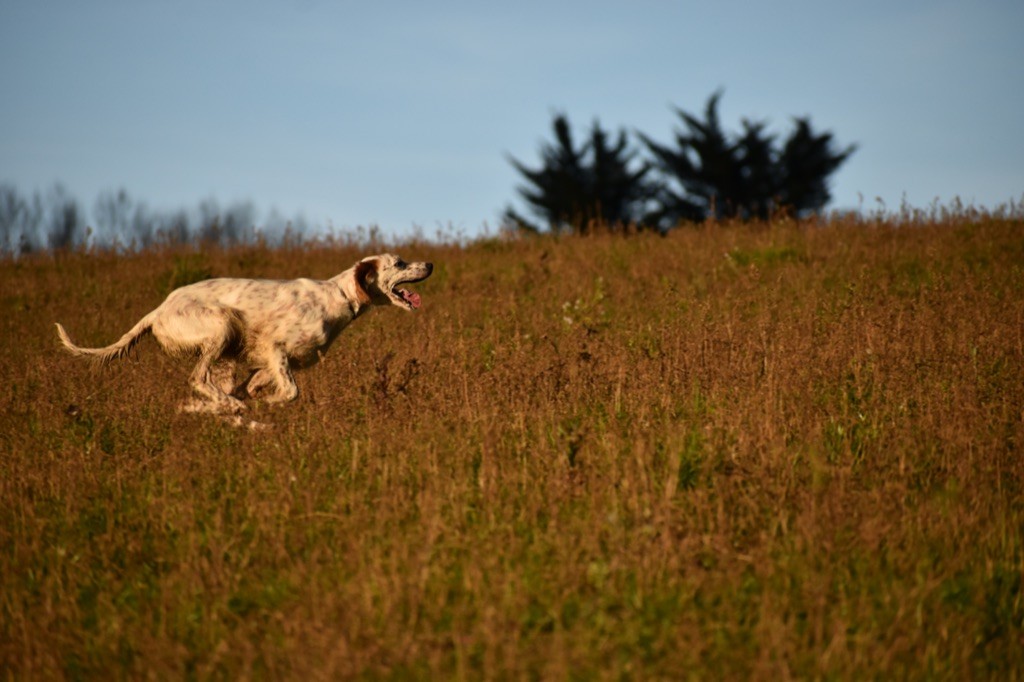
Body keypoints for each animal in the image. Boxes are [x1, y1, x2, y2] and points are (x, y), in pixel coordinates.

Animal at [56, 251, 432, 413]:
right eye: (399, 263)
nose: (430, 264)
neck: (337, 297)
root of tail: (159, 309)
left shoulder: (270, 362)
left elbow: (256, 384)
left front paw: (255, 399)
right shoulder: (276, 347)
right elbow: (290, 392)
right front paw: (267, 403)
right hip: (220, 325)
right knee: (197, 379)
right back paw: (229, 405)